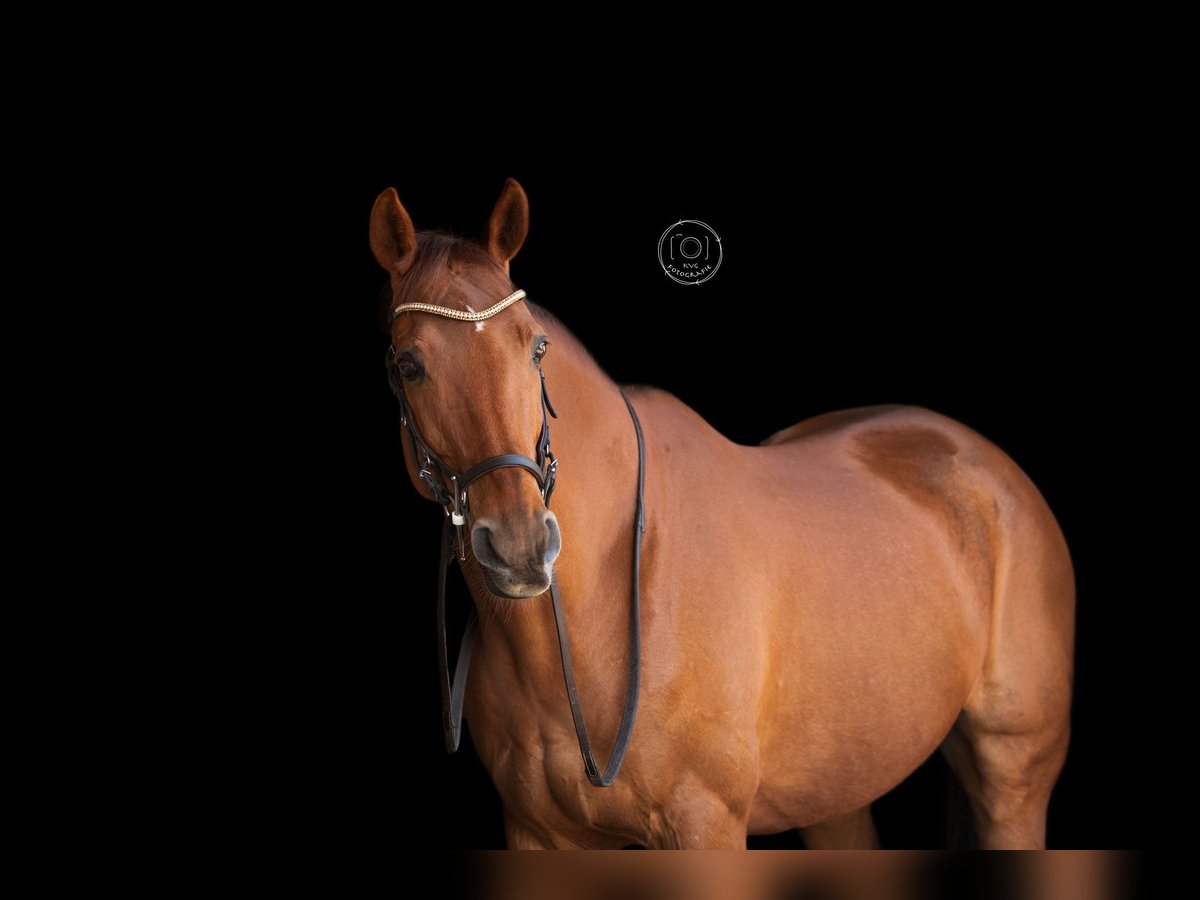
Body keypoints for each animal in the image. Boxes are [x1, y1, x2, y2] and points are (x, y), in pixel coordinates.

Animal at [370, 179, 1074, 849]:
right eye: (408, 365)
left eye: (536, 348)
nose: (520, 547)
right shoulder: (536, 834)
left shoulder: (706, 823)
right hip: (837, 787)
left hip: (1015, 776)